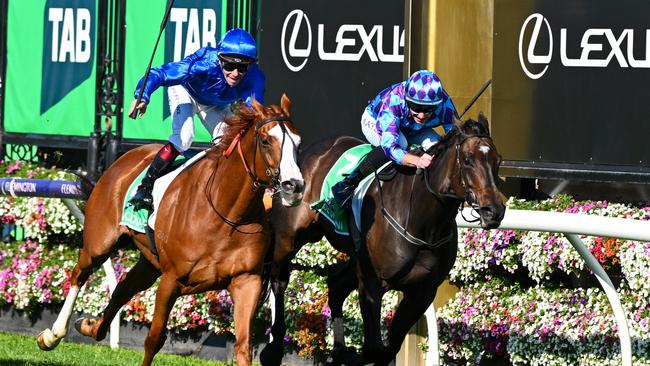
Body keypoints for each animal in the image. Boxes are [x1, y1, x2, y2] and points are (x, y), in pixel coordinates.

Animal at [36, 96, 306, 364]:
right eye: (266, 141)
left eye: (299, 143)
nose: (294, 186)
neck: (227, 213)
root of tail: (123, 160)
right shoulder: (171, 279)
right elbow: (154, 339)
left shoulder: (247, 280)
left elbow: (243, 346)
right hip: (100, 242)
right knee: (80, 274)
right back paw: (51, 335)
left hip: (149, 262)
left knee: (123, 288)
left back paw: (90, 326)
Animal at [260, 113, 504, 364]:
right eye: (467, 159)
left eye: (498, 161)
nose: (493, 211)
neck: (422, 221)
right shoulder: (371, 283)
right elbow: (374, 347)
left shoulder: (422, 291)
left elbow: (388, 348)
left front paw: (349, 355)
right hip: (290, 235)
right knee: (279, 280)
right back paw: (273, 349)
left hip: (356, 256)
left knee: (336, 286)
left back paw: (339, 350)